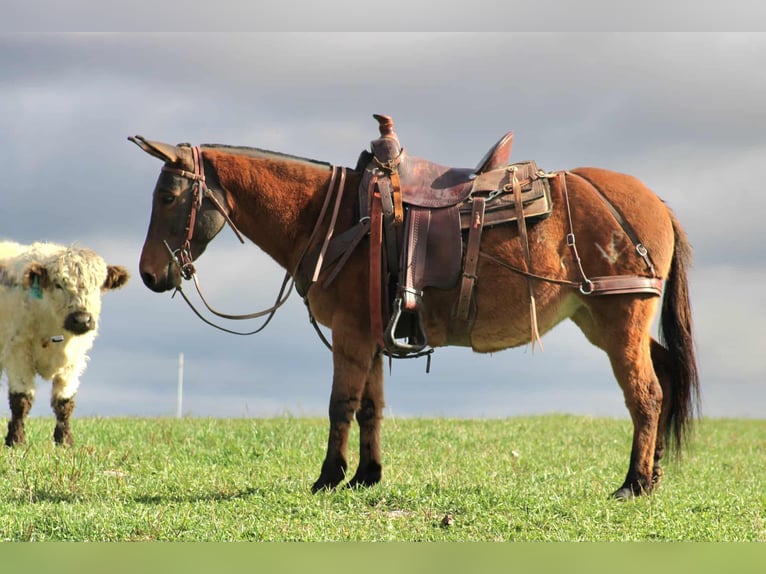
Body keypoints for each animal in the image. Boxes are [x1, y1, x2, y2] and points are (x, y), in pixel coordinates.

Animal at [129, 121, 698, 500]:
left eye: (168, 197)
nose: (150, 275)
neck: (335, 217)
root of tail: (654, 202)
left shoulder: (350, 334)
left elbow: (340, 405)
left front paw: (328, 477)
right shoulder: (369, 335)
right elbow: (370, 407)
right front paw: (366, 477)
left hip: (619, 322)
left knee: (645, 396)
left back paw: (633, 483)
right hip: (607, 321)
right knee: (667, 378)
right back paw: (655, 473)